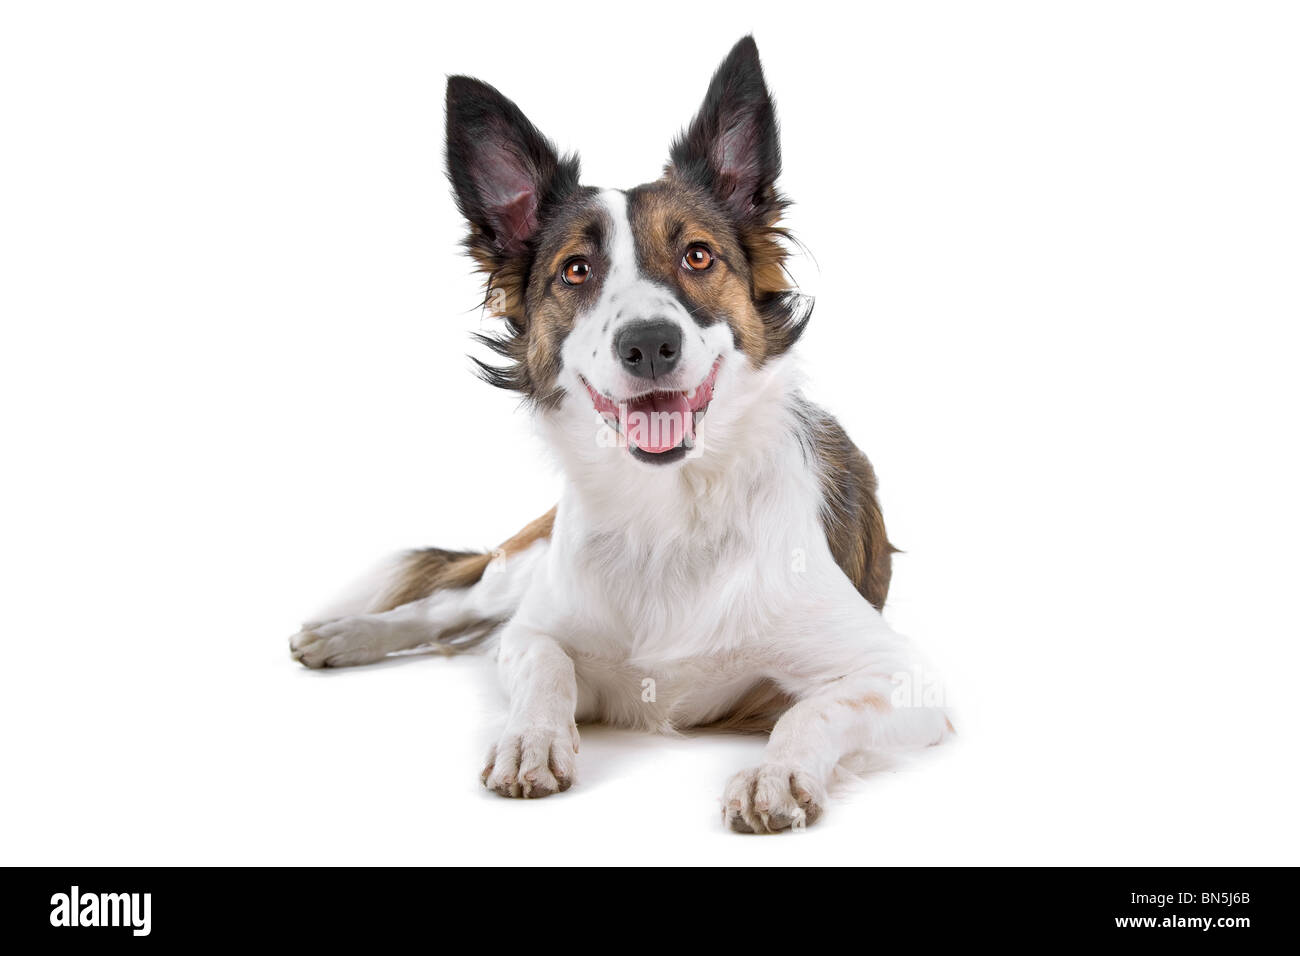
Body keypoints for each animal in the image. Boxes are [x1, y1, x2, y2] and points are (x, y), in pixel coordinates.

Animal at [289, 35, 951, 832]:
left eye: (698, 255)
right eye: (576, 270)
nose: (649, 344)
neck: (667, 511)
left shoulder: (903, 678)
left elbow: (812, 712)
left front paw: (775, 773)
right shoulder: (536, 628)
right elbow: (545, 664)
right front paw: (531, 739)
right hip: (518, 569)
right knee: (444, 607)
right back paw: (345, 635)